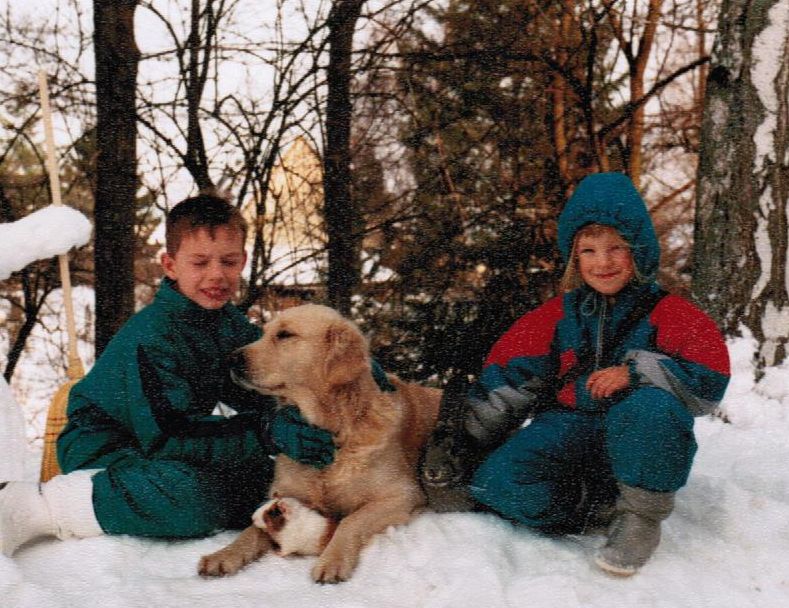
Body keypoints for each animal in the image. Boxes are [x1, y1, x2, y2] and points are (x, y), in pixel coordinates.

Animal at [197, 304, 440, 584]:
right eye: (263, 332)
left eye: (285, 335)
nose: (230, 359)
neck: (330, 432)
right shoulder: (285, 494)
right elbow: (251, 530)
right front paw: (224, 554)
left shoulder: (403, 495)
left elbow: (351, 521)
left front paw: (332, 560)